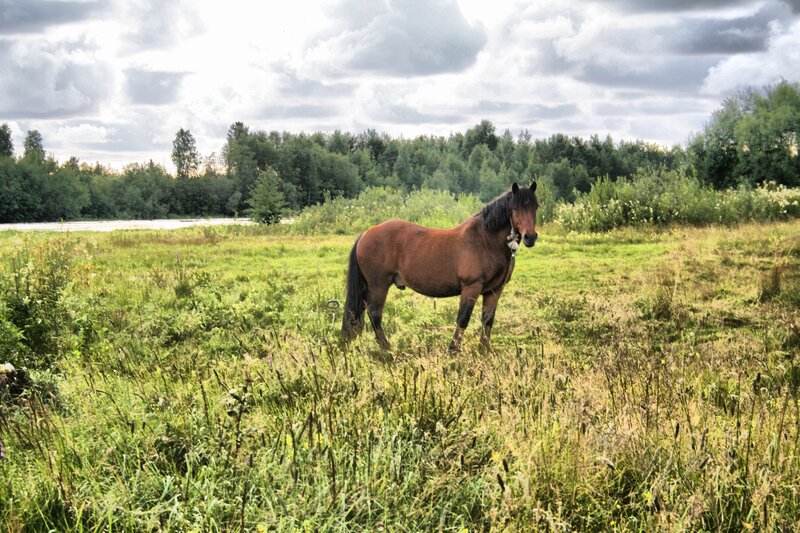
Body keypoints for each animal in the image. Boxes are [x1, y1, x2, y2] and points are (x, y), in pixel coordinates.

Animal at [341, 181, 538, 352]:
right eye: (515, 208)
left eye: (535, 206)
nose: (530, 237)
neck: (484, 240)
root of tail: (366, 233)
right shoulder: (471, 288)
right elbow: (463, 320)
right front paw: (453, 351)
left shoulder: (494, 290)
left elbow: (488, 320)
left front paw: (484, 351)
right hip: (379, 286)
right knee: (375, 314)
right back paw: (387, 350)